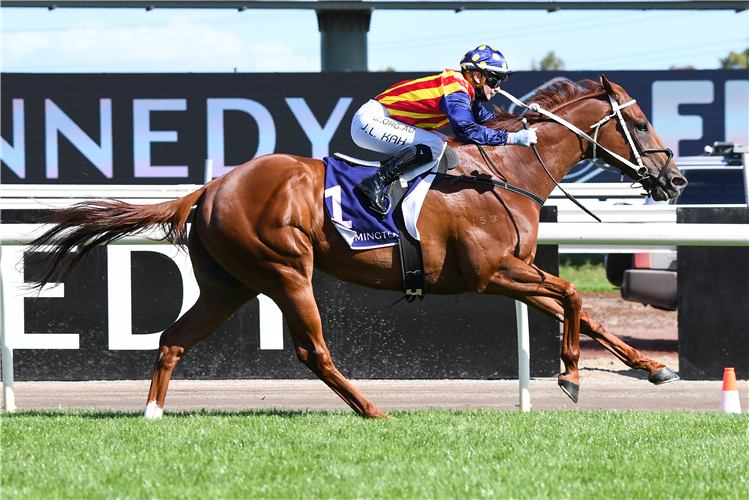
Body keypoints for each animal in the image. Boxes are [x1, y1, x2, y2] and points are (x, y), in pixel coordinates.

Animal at [29, 75, 684, 418]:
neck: (503, 172)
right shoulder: (490, 272)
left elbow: (583, 310)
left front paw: (652, 367)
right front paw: (571, 374)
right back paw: (371, 409)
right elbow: (572, 294)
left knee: (172, 339)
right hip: (286, 270)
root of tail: (212, 186)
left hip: (228, 284)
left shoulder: (511, 272)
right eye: (640, 123)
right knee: (311, 351)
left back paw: (152, 412)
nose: (674, 181)